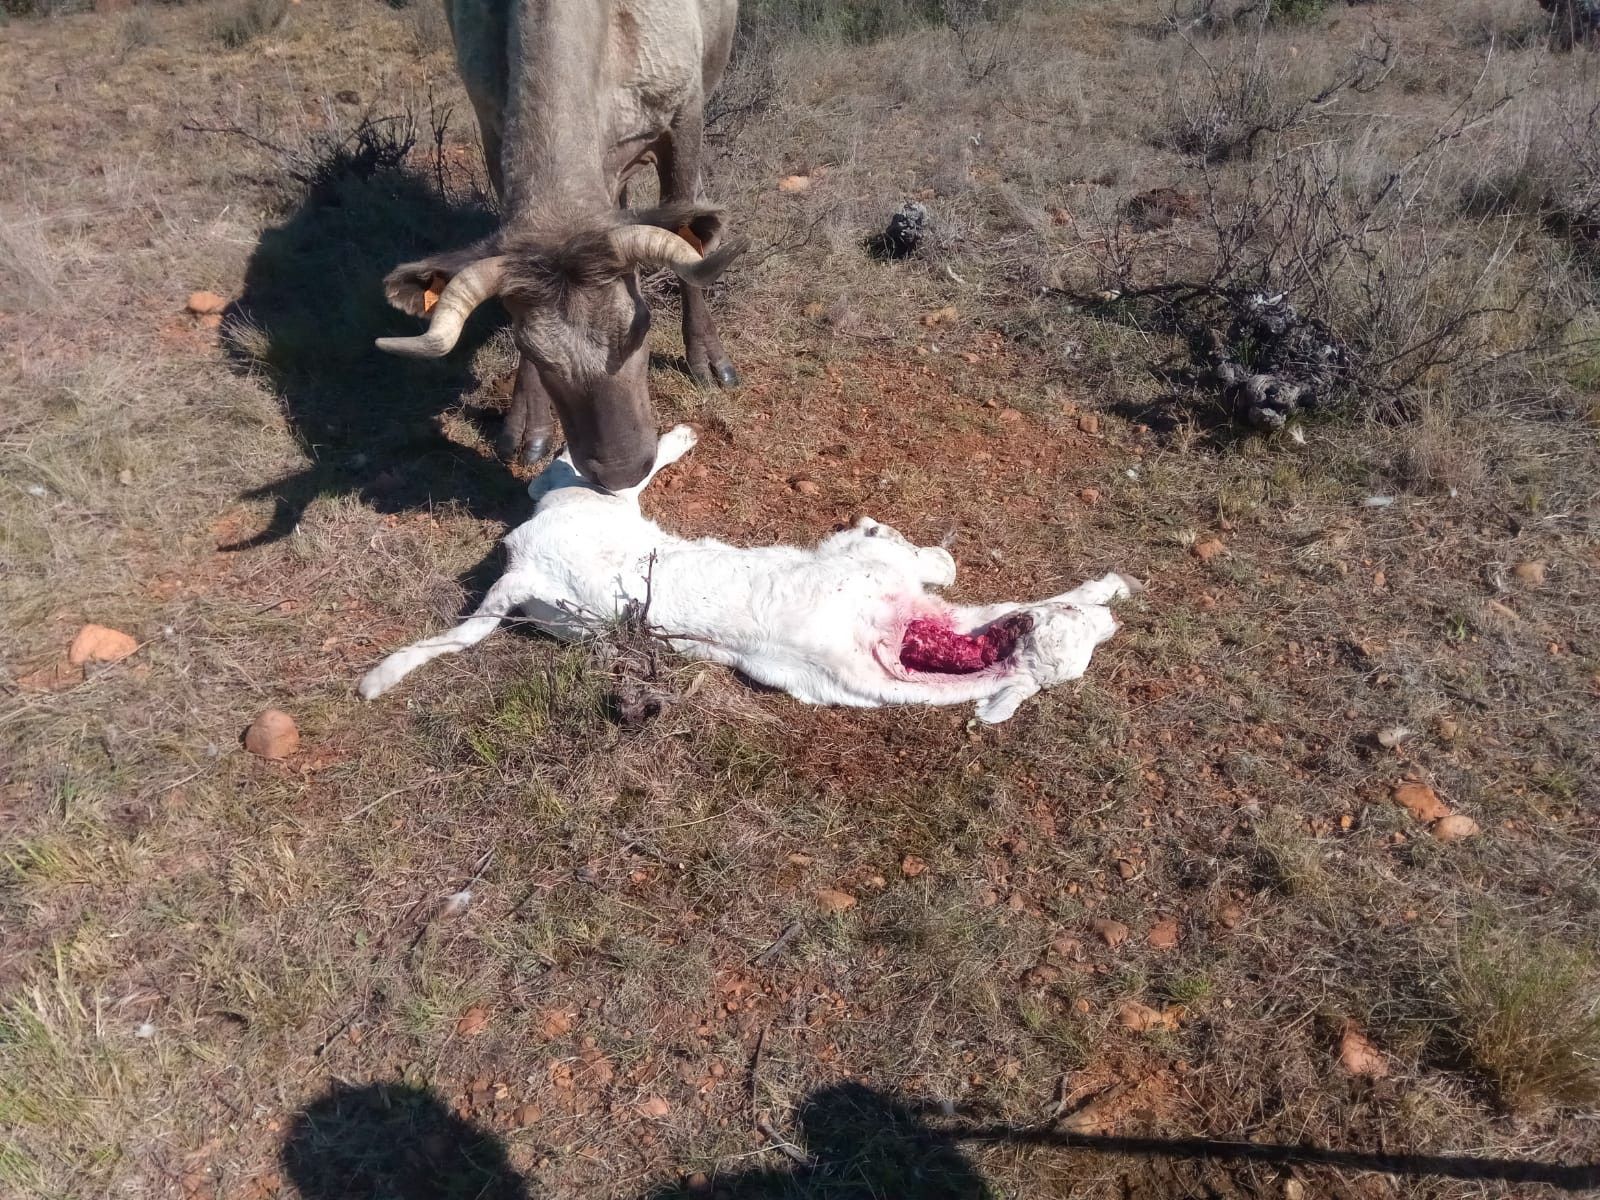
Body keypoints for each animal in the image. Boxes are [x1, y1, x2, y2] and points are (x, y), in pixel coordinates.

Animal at [363, 428, 1139, 729]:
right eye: (1083, 635)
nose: (1113, 624)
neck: (900, 643)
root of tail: (524, 569)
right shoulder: (872, 569)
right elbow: (916, 556)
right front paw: (1109, 587)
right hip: (597, 507)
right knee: (577, 474)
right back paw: (673, 436)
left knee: (550, 483)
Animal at [379, 0, 742, 489]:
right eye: (531, 349)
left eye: (643, 326)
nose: (622, 471)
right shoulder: (493, 131)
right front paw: (527, 426)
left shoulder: (685, 115)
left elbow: (690, 240)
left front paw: (708, 359)